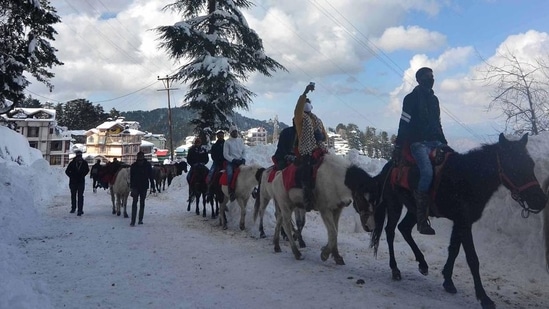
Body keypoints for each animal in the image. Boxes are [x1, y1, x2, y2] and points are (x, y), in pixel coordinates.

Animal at [370, 132, 544, 308]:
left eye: (531, 164)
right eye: (513, 166)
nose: (540, 200)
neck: (468, 177)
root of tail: (389, 166)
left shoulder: (460, 222)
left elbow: (453, 249)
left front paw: (448, 281)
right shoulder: (464, 223)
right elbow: (472, 259)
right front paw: (484, 298)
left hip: (414, 210)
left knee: (404, 228)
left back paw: (423, 264)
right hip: (394, 204)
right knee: (390, 231)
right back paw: (395, 269)